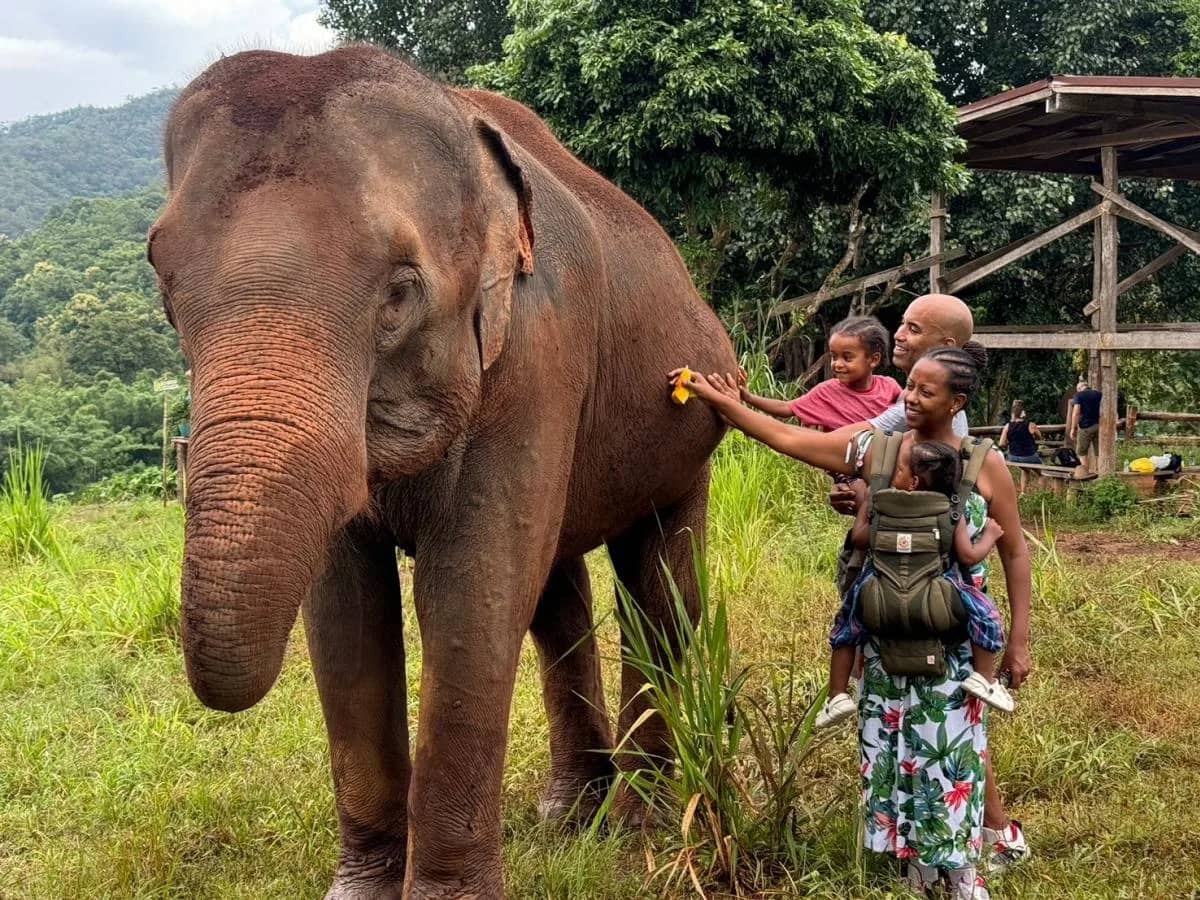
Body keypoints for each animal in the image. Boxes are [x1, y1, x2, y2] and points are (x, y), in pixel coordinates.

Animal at [148, 46, 736, 898]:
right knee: (555, 591)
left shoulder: (539, 353)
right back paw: (571, 814)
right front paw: (361, 890)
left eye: (399, 293)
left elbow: (471, 585)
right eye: (163, 289)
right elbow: (346, 607)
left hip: (688, 430)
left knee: (659, 585)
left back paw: (640, 820)